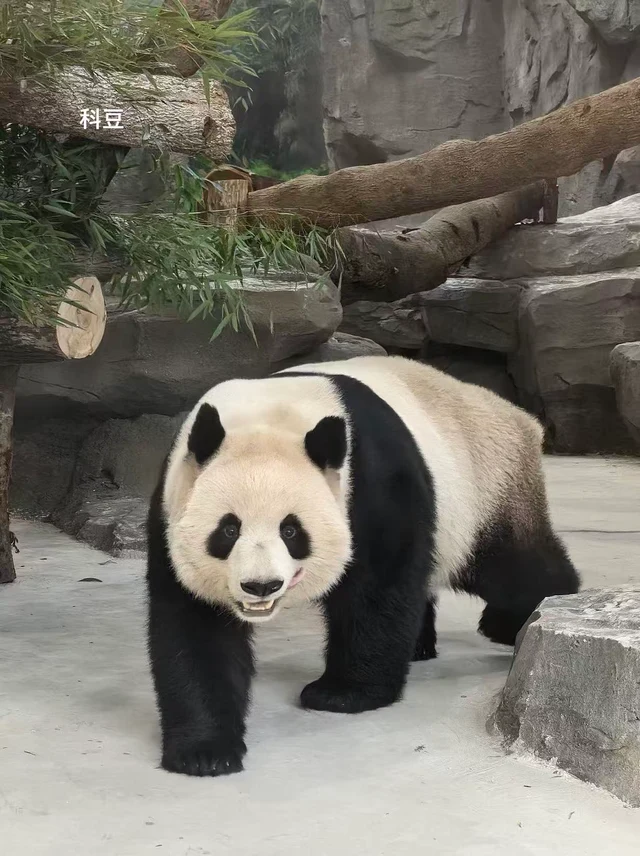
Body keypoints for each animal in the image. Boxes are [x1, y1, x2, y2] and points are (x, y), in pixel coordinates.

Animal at [146, 355, 579, 777]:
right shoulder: (172, 503)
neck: (273, 409)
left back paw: (521, 620)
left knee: (514, 567)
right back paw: (420, 646)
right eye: (228, 529)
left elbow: (378, 587)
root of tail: (515, 415)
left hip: (483, 489)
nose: (261, 585)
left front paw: (343, 693)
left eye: (291, 530)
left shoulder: (374, 480)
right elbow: (195, 624)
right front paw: (205, 751)